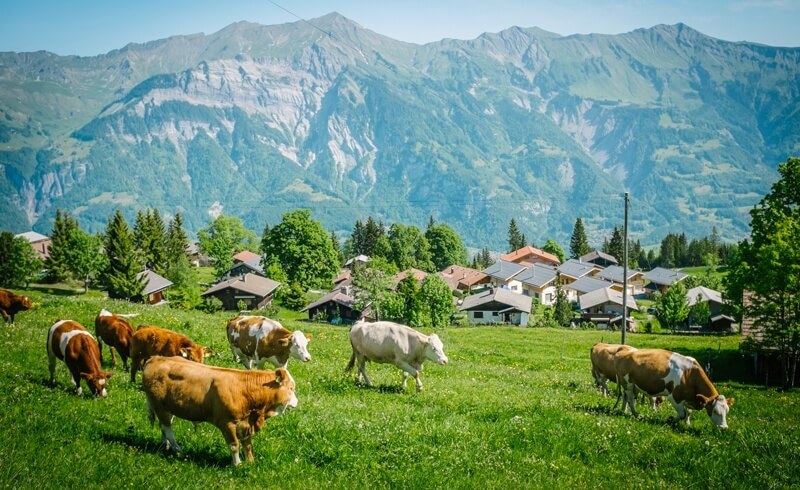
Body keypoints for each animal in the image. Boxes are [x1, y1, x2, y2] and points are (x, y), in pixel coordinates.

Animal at [141, 354, 296, 466]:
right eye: (291, 388)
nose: (296, 402)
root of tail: (155, 358)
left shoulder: (245, 422)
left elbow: (248, 444)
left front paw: (251, 462)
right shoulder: (227, 423)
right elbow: (234, 445)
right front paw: (237, 464)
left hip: (168, 407)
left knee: (164, 426)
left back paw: (165, 446)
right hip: (159, 406)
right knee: (168, 429)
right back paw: (178, 450)